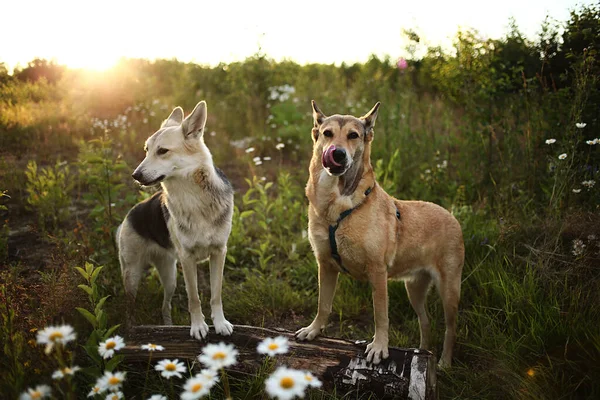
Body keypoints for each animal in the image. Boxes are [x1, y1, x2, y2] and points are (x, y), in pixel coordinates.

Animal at [296, 101, 464, 368]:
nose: (338, 153)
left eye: (353, 135)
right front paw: (313, 330)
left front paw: (379, 347)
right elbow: (323, 304)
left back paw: (444, 363)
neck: (338, 204)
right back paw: (422, 352)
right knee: (425, 321)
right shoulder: (326, 265)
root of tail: (451, 215)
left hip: (449, 291)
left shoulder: (377, 272)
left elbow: (380, 315)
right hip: (414, 290)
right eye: (327, 133)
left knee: (450, 327)